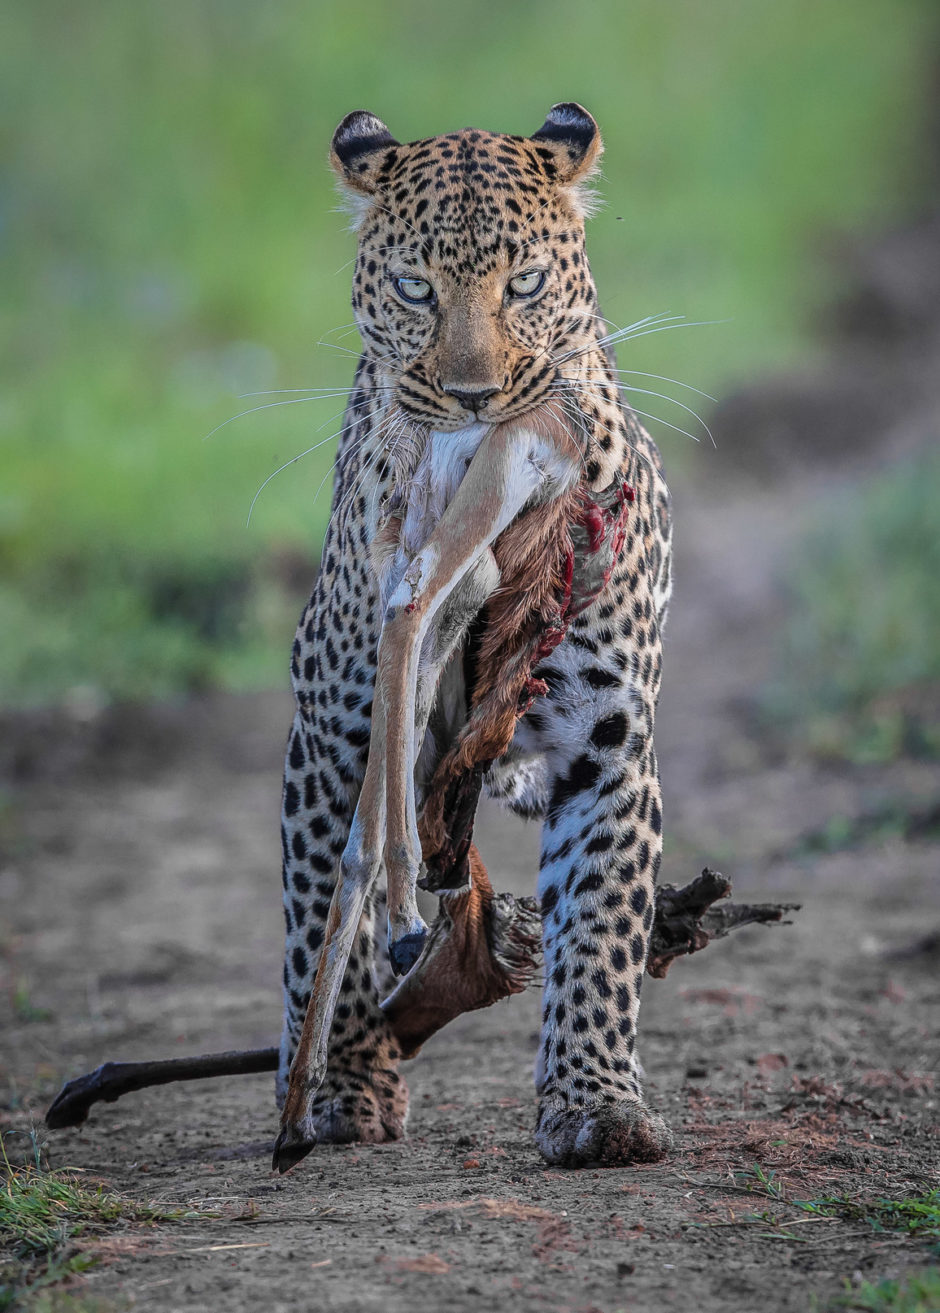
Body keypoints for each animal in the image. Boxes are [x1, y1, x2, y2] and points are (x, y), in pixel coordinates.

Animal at [275, 105, 672, 1171]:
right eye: (417, 287)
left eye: (524, 283)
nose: (473, 398)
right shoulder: (328, 735)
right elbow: (315, 915)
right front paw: (344, 1082)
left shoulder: (609, 744)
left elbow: (602, 929)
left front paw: (596, 1102)